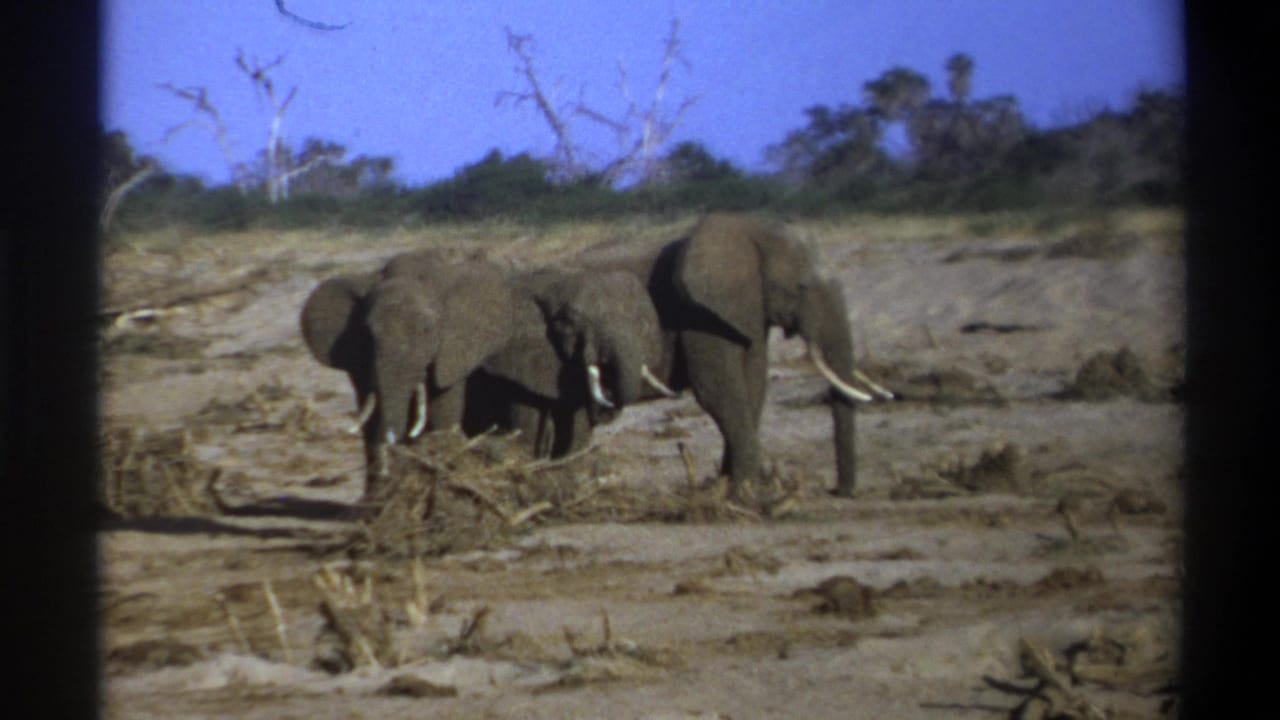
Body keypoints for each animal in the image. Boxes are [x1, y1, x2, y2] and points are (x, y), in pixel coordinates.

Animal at [569, 212, 893, 499]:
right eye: (801, 287)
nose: (838, 491)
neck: (754, 229)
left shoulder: (746, 310)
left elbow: (753, 384)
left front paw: (727, 488)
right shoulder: (700, 312)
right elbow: (717, 388)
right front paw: (747, 494)